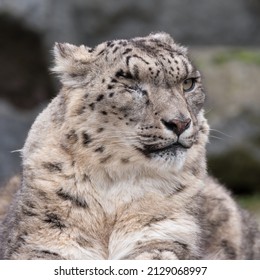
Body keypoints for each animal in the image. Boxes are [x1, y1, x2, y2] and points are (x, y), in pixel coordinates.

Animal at [0, 33, 260, 260]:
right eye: (131, 84)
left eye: (188, 83)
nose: (180, 122)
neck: (113, 187)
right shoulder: (43, 239)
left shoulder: (164, 234)